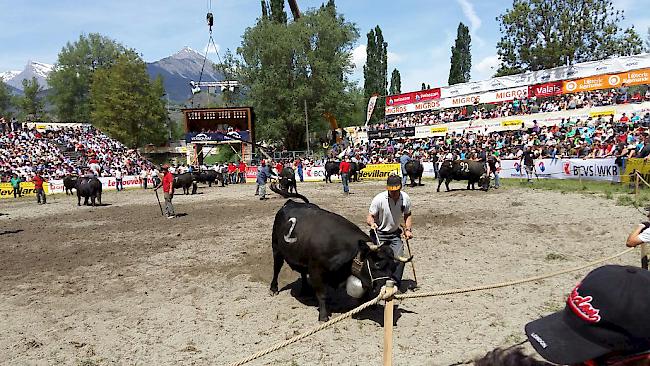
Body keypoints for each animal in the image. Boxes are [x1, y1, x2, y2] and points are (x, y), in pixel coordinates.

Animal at [270, 194, 410, 320]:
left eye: (393, 267)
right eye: (377, 264)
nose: (390, 287)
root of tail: (290, 202)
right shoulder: (316, 270)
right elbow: (322, 294)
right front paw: (323, 316)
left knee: (303, 272)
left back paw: (305, 290)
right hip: (276, 248)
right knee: (277, 268)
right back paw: (274, 288)